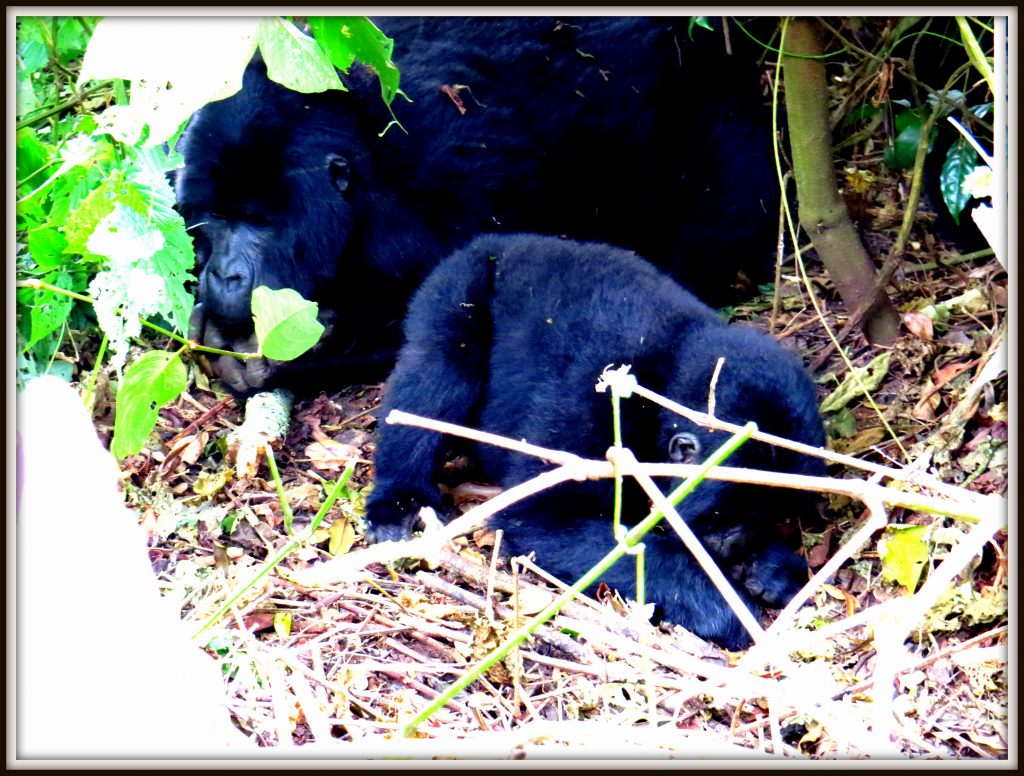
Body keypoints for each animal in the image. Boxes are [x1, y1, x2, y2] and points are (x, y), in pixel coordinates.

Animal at [364, 235, 827, 651]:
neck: (663, 386)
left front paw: (769, 563)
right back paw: (399, 497)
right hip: (457, 284)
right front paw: (717, 605)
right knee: (442, 364)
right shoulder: (592, 408)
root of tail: (493, 241)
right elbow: (539, 520)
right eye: (725, 518)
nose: (739, 542)